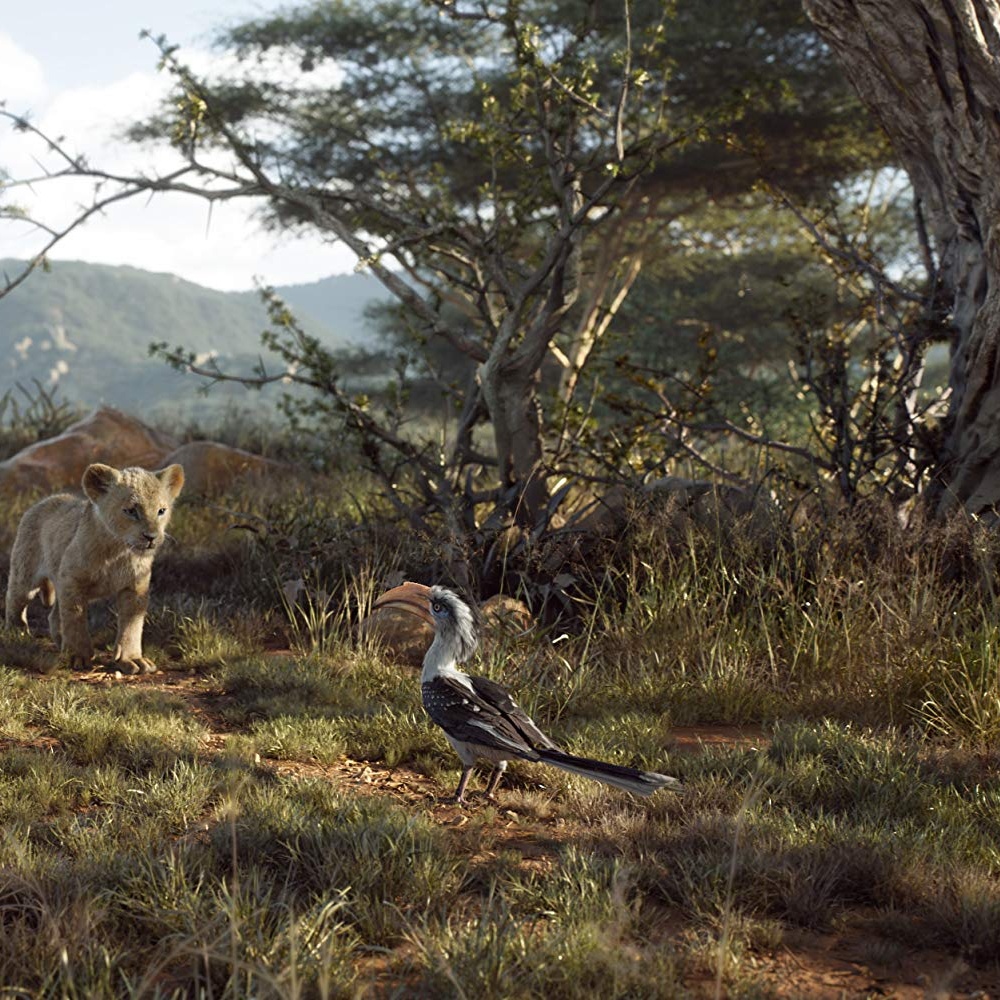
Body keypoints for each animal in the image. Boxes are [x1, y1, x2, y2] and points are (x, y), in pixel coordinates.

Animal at [4, 463, 185, 674]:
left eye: (161, 511)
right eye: (131, 511)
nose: (151, 537)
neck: (118, 551)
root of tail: (45, 500)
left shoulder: (136, 586)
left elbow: (132, 624)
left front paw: (132, 659)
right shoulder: (71, 580)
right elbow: (75, 618)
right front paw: (78, 656)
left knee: (53, 616)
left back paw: (60, 643)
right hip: (26, 573)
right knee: (15, 599)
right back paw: (17, 636)